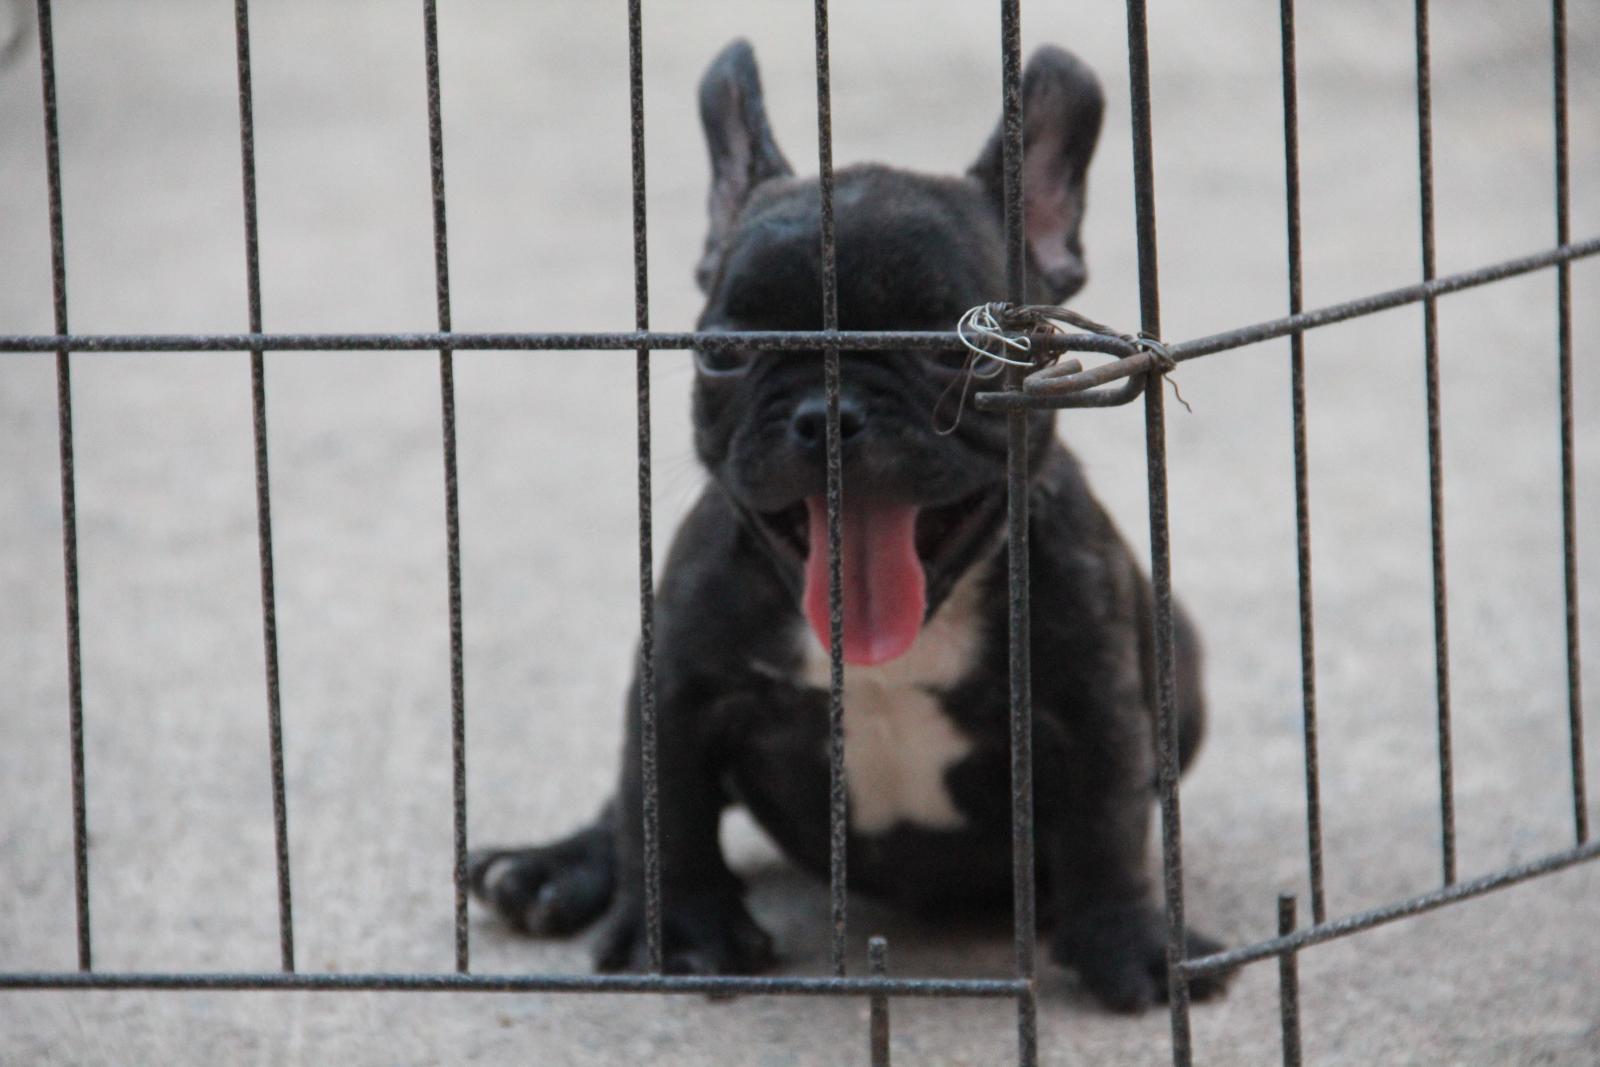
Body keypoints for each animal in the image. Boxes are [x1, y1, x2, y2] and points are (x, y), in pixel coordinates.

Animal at [469, 39, 1228, 1013]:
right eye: (726, 351)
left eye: (963, 352)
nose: (829, 411)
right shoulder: (678, 680)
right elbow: (665, 805)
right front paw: (686, 934)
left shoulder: (1093, 696)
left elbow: (1108, 820)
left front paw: (1132, 944)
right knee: (623, 806)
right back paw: (552, 869)